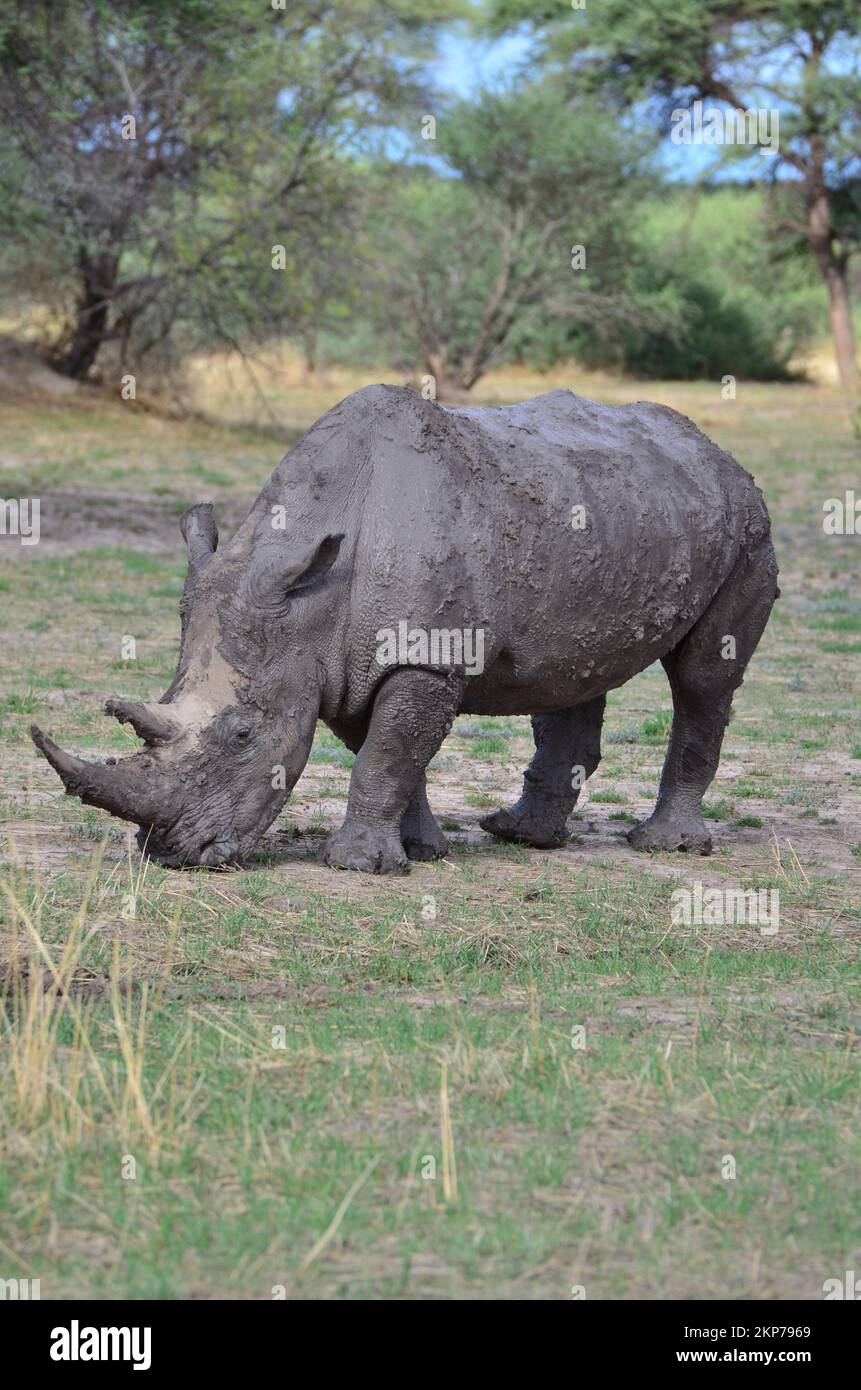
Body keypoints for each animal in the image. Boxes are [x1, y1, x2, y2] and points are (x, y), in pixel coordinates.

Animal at [32, 385, 778, 873]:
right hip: (611, 511)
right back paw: (520, 837)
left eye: (242, 735)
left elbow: (387, 754)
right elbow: (389, 753)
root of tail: (715, 448)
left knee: (704, 677)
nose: (171, 855)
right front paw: (421, 851)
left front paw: (358, 867)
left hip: (747, 522)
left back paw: (665, 847)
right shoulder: (341, 661)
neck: (308, 597)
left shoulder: (421, 657)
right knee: (569, 671)